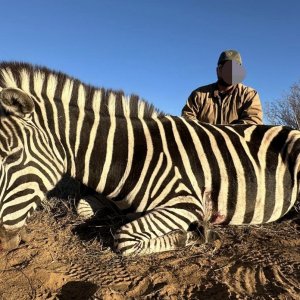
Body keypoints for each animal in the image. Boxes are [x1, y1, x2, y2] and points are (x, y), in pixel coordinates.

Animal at [0, 62, 298, 254]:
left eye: (11, 155)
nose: (3, 242)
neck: (130, 156)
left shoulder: (186, 203)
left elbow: (123, 239)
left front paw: (191, 234)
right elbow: (83, 207)